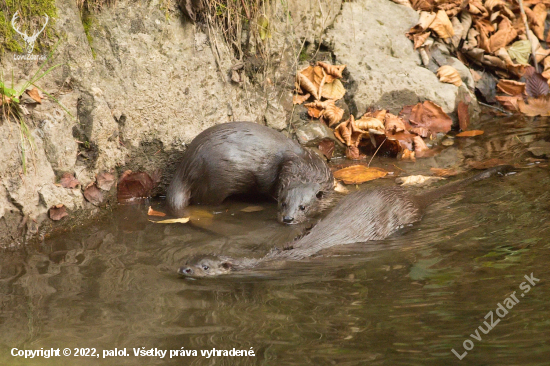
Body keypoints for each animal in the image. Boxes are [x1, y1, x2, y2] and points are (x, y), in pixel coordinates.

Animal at [166, 122, 334, 223]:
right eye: (283, 203)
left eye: (302, 207)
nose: (287, 218)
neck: (307, 164)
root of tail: (186, 165)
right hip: (213, 183)